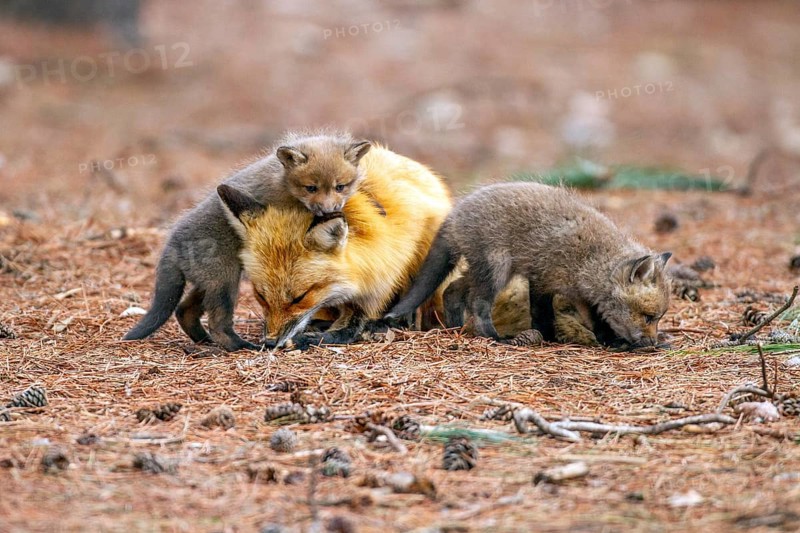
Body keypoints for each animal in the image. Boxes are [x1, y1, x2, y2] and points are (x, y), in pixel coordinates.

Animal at [122, 131, 372, 351]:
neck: (283, 181)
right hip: (225, 282)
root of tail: (171, 244)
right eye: (311, 188)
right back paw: (240, 346)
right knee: (217, 325)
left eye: (340, 186)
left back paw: (203, 342)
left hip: (209, 283)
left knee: (183, 310)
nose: (331, 211)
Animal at [217, 145, 452, 349]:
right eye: (261, 296)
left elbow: (349, 328)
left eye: (300, 298)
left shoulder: (379, 277)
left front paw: (308, 339)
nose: (271, 342)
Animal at [386, 182, 672, 348]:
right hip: (497, 269)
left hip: (490, 271)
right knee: (478, 303)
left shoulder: (573, 292)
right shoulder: (546, 280)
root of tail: (454, 213)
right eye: (648, 317)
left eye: (658, 318)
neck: (591, 259)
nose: (652, 342)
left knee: (452, 290)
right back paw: (493, 337)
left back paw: (456, 328)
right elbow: (545, 315)